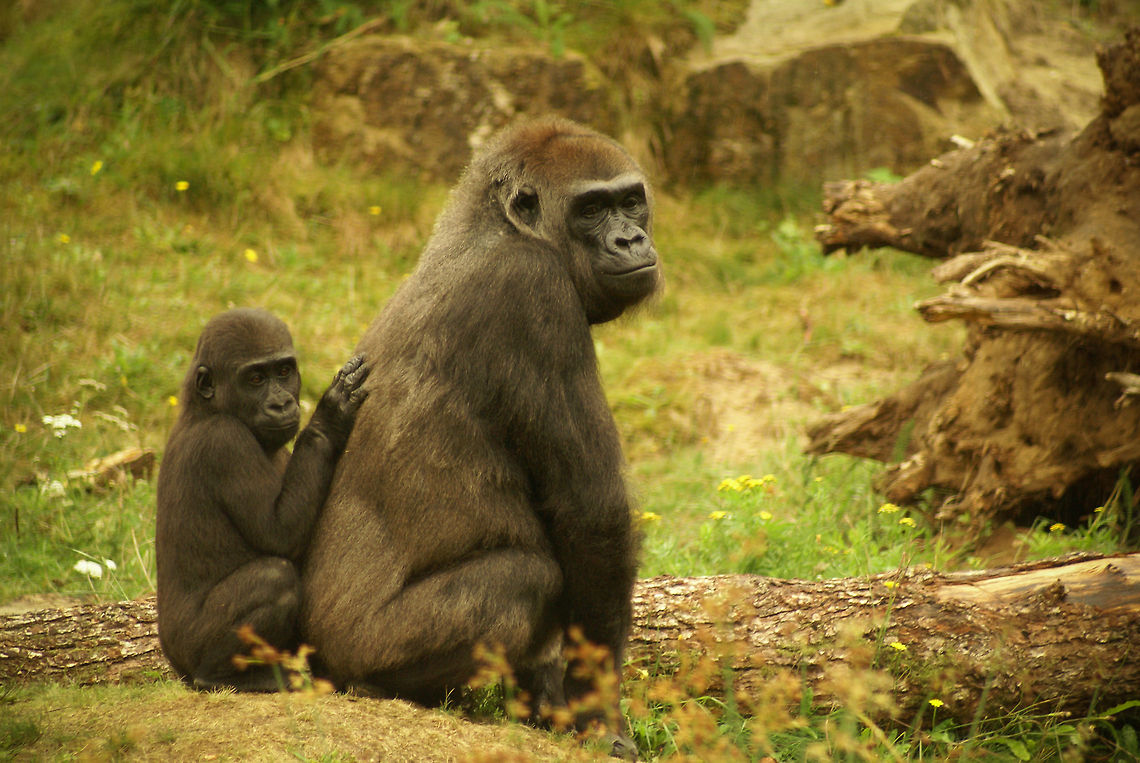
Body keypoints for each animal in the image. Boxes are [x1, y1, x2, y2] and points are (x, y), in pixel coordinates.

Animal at [156, 307, 368, 691]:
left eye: (283, 371)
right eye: (255, 378)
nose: (281, 403)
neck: (205, 408)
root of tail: (175, 664)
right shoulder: (226, 443)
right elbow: (278, 535)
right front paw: (330, 418)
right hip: (188, 652)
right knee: (275, 577)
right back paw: (217, 676)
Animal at [301, 118, 660, 758]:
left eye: (630, 201)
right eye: (592, 208)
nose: (629, 241)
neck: (494, 225)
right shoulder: (536, 295)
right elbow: (591, 515)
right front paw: (598, 712)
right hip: (356, 645)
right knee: (525, 581)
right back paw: (382, 686)